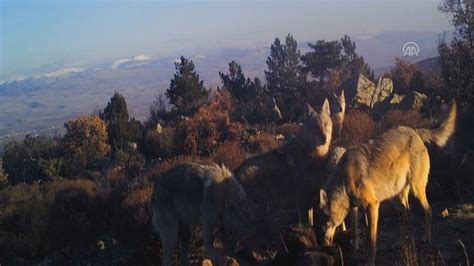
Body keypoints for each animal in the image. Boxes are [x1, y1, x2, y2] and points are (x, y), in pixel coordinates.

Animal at [316, 101, 458, 264]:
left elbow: (371, 242)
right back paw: (403, 243)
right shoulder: (362, 209)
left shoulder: (373, 205)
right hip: (400, 198)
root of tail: (415, 131)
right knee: (408, 219)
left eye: (322, 226)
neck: (344, 181)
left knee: (429, 210)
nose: (322, 246)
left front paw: (370, 262)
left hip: (416, 189)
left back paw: (426, 238)